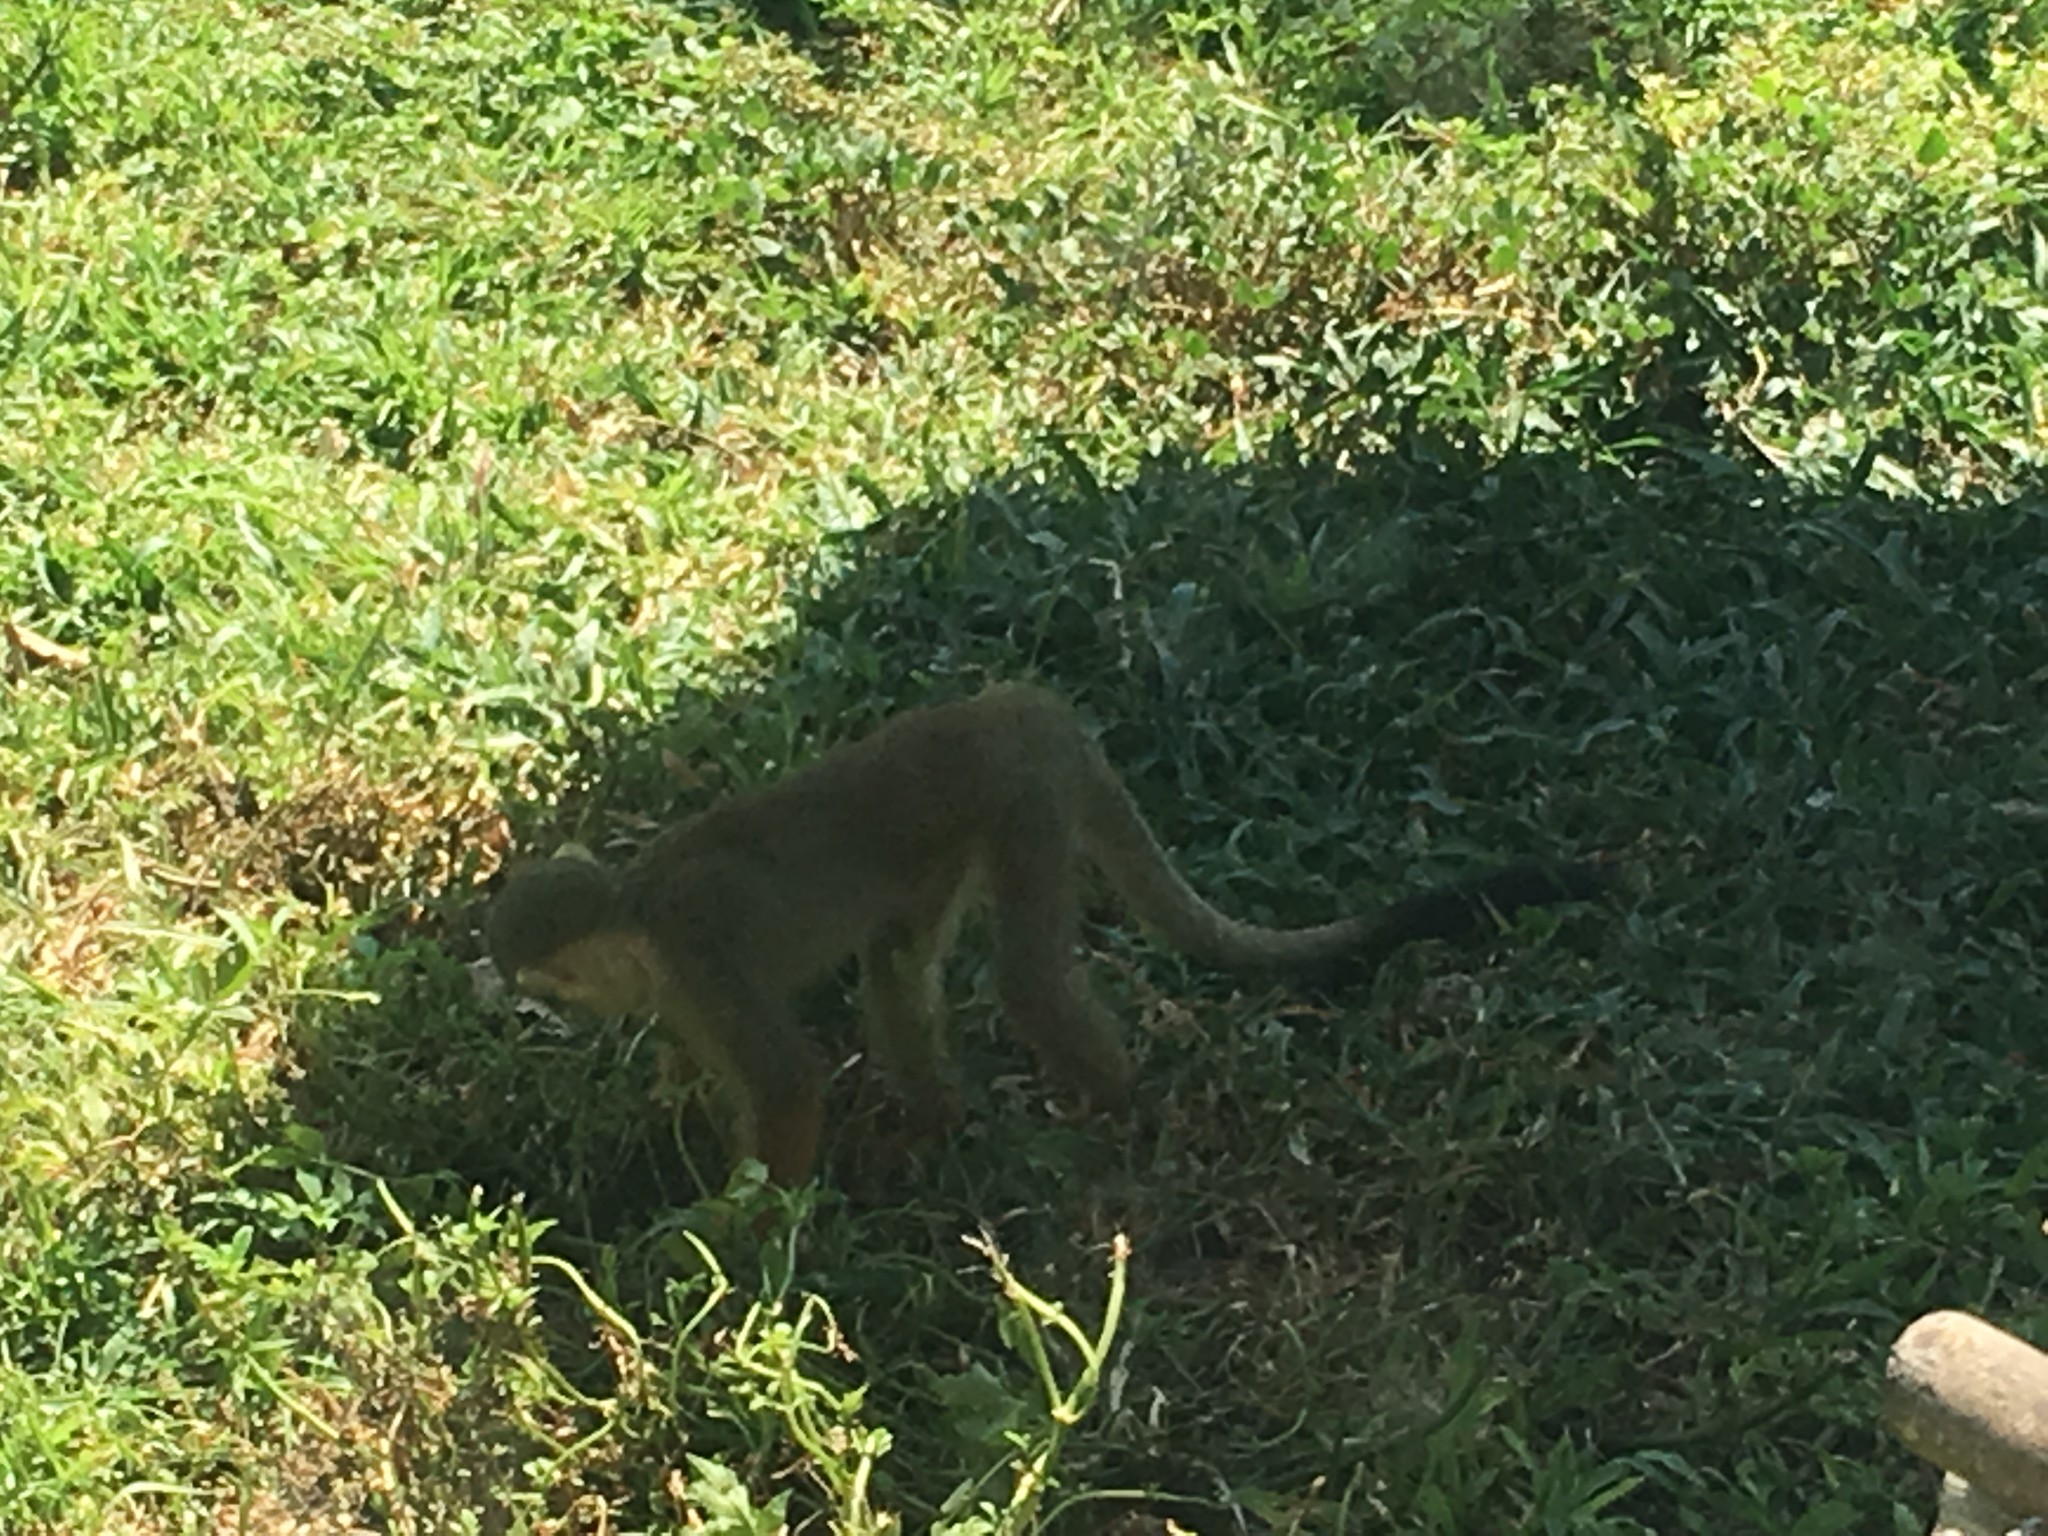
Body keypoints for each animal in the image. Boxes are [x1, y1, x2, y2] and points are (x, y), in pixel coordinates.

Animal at [487, 688, 1605, 1187]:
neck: (635, 912)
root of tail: (1020, 705)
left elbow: (788, 1084)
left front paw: (741, 1233)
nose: (524, 1004)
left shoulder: (696, 957)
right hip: (961, 826)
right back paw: (940, 1128)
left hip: (1024, 798)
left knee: (1025, 978)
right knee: (899, 961)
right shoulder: (683, 986)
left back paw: (1120, 1116)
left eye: (547, 984)